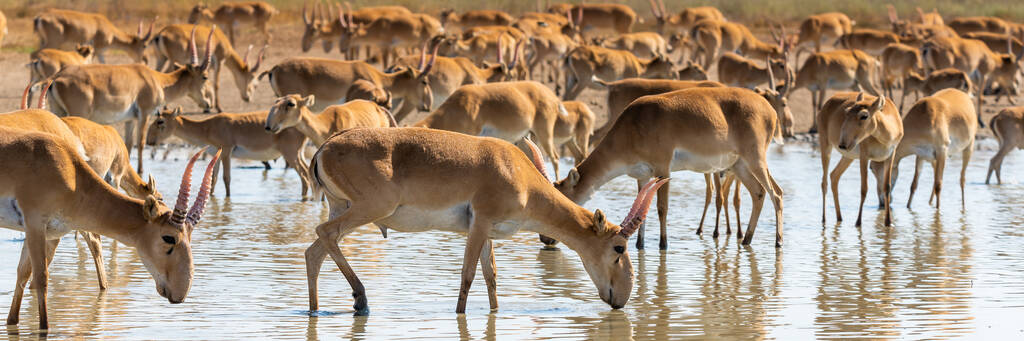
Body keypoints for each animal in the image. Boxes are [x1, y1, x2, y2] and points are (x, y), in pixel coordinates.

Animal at [1, 130, 218, 329]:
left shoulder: (44, 233)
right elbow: (41, 278)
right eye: (169, 237)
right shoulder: (35, 225)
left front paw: (12, 323)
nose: (180, 293)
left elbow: (22, 275)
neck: (69, 171)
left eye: (189, 237)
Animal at [305, 126, 663, 313]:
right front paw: (461, 315)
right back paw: (361, 299)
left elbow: (491, 276)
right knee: (324, 233)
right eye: (619, 247)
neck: (518, 173)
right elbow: (467, 276)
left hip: (343, 207)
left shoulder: (490, 232)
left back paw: (316, 309)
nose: (621, 298)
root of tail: (323, 149)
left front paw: (495, 313)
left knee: (315, 250)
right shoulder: (478, 225)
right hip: (369, 209)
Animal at [557, 86, 786, 248]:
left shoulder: (663, 169)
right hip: (739, 166)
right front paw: (639, 245)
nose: (549, 240)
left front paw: (663, 244)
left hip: (755, 160)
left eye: (563, 196)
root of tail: (771, 111)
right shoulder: (642, 176)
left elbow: (661, 208)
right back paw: (746, 240)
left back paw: (778, 241)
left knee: (776, 194)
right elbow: (640, 210)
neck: (633, 126)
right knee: (759, 193)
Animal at [815, 91, 905, 227]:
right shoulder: (864, 156)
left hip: (848, 156)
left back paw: (839, 217)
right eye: (846, 111)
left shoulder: (890, 156)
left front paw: (888, 222)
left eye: (864, 115)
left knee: (834, 175)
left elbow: (887, 187)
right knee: (824, 182)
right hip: (826, 145)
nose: (842, 143)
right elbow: (864, 189)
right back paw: (824, 220)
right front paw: (858, 222)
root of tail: (828, 102)